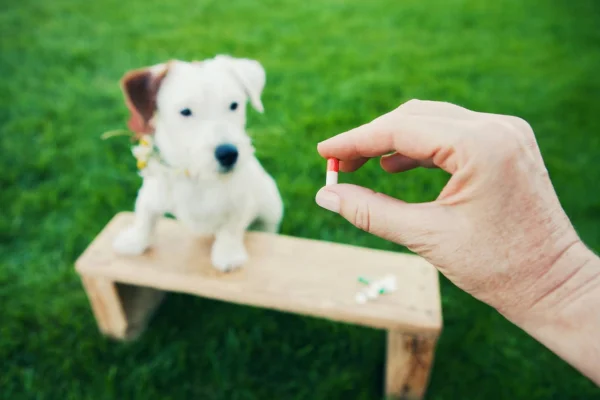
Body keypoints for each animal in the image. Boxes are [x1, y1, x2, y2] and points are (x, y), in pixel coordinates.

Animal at [112, 55, 284, 272]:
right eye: (185, 111)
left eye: (234, 105)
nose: (229, 154)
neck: (198, 176)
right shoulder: (151, 193)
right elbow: (144, 216)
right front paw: (135, 241)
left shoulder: (242, 202)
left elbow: (231, 227)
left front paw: (228, 254)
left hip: (271, 206)